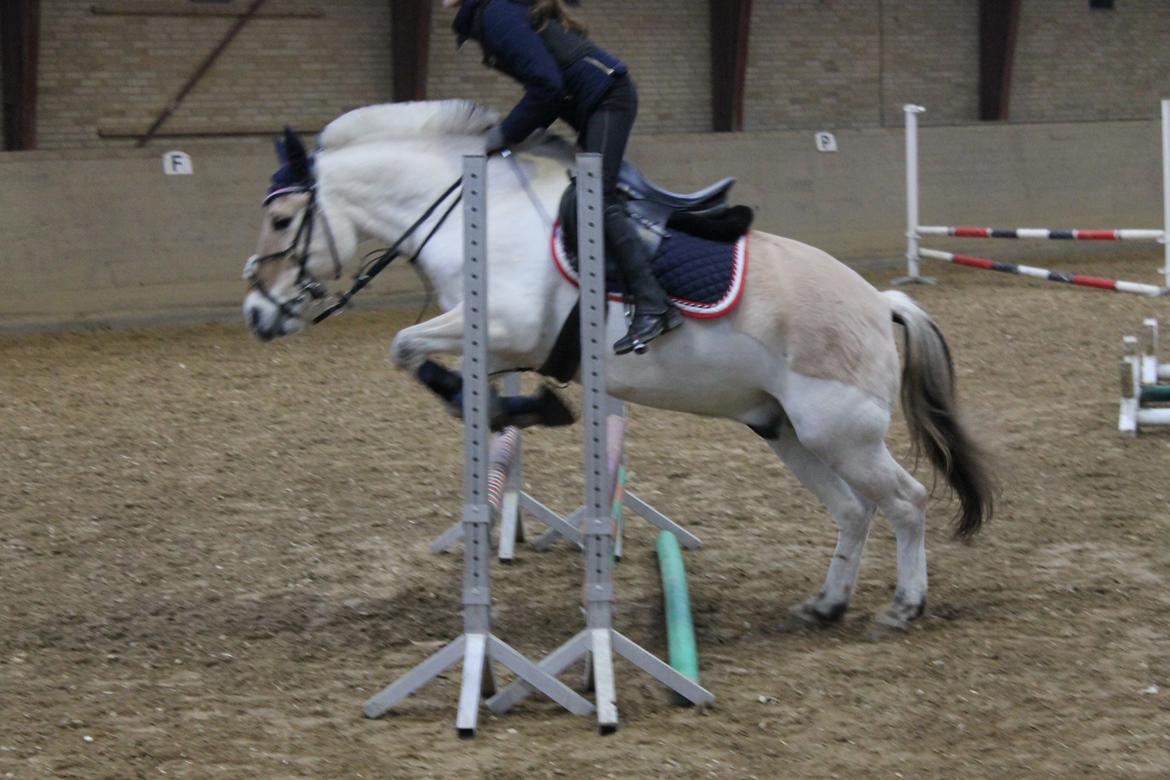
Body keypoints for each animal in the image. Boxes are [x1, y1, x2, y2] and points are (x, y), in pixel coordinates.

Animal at [241, 100, 995, 631]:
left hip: (839, 431)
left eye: (281, 222)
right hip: (784, 429)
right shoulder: (496, 343)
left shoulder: (506, 331)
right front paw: (524, 410)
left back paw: (902, 607)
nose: (255, 313)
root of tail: (879, 299)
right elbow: (427, 362)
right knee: (852, 511)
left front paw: (532, 408)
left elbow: (405, 346)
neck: (477, 211)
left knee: (905, 502)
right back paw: (826, 604)